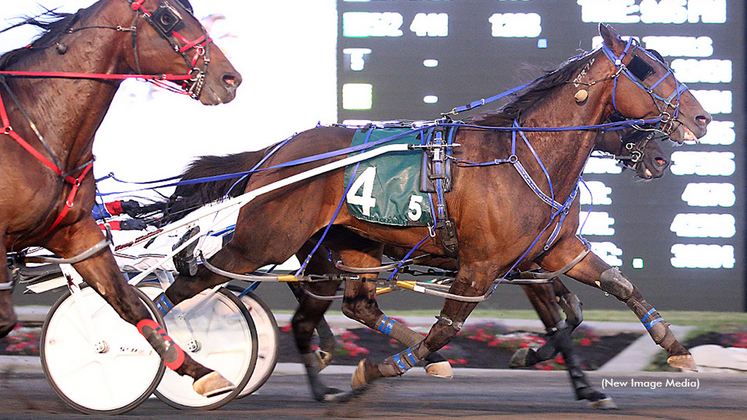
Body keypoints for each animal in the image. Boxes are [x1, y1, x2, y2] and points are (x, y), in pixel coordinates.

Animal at [0, 0, 243, 398]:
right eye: (167, 17)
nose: (230, 78)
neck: (33, 126)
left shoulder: (76, 234)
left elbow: (130, 303)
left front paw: (200, 371)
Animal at [161, 23, 712, 404]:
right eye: (643, 68)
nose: (700, 118)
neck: (526, 156)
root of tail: (276, 152)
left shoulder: (551, 253)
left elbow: (613, 290)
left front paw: (670, 351)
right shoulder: (483, 267)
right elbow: (450, 329)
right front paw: (386, 367)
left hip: (344, 248)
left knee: (331, 310)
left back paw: (323, 385)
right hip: (262, 241)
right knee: (187, 285)